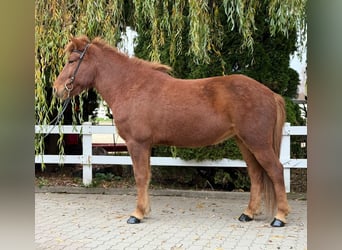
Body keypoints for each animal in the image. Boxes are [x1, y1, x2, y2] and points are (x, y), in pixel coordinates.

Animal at [52, 36, 288, 228]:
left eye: (71, 61)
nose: (57, 89)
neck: (131, 86)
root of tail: (270, 93)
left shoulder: (137, 144)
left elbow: (140, 176)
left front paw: (136, 214)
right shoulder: (145, 146)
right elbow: (146, 176)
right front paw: (144, 211)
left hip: (258, 143)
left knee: (276, 171)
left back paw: (280, 218)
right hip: (244, 142)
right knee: (256, 174)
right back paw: (248, 214)